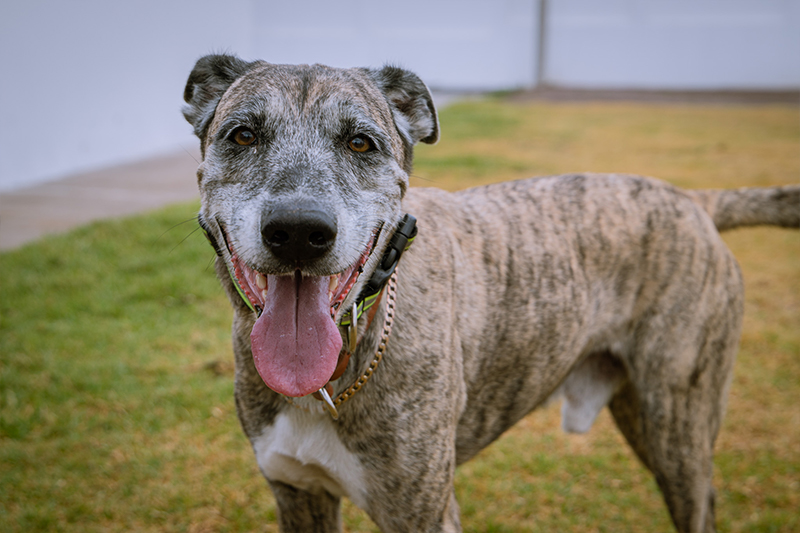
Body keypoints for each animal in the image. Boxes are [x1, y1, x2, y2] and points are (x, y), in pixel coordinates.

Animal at [183, 55, 800, 532]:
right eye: (242, 135)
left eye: (360, 142)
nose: (298, 231)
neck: (337, 369)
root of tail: (695, 200)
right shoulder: (298, 494)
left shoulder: (421, 511)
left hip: (678, 424)